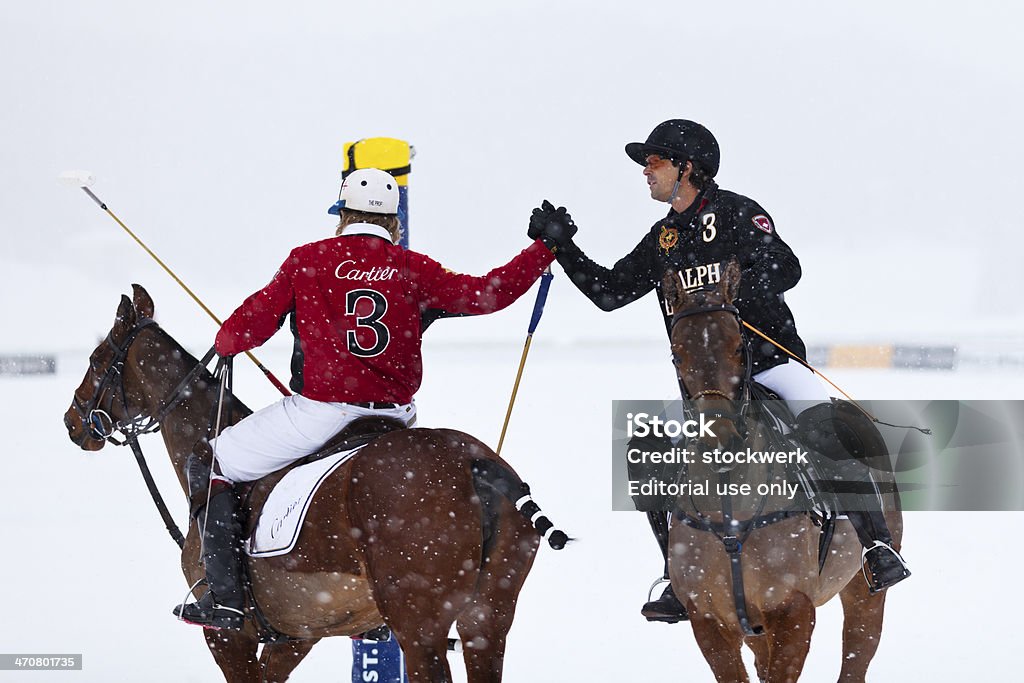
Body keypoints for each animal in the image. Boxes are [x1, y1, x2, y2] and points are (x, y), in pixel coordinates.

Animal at [64, 284, 569, 683]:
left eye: (95, 358)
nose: (72, 421)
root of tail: (475, 462)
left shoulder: (229, 636)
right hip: (487, 620)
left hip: (419, 628)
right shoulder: (298, 634)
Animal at [659, 264, 901, 683]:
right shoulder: (709, 620)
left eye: (739, 346)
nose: (720, 438)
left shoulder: (793, 610)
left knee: (857, 651)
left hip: (863, 589)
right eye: (677, 354)